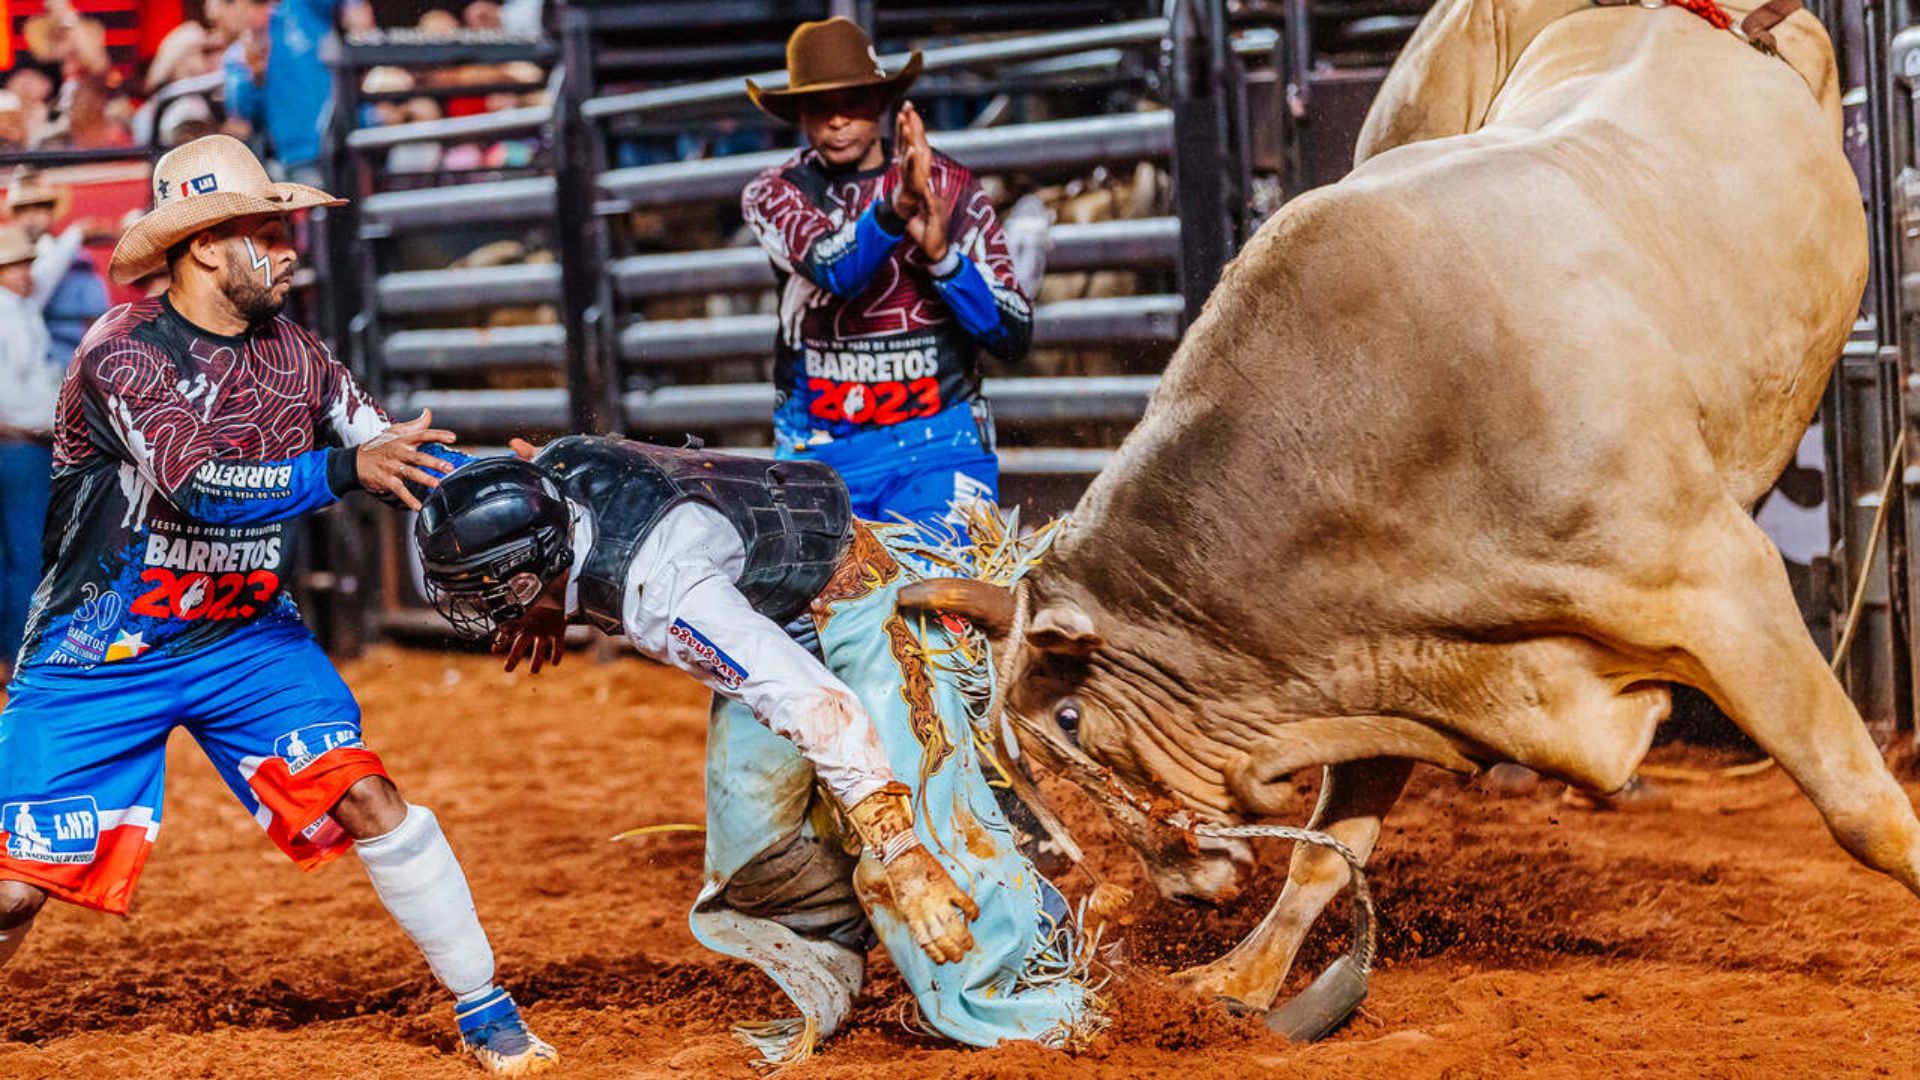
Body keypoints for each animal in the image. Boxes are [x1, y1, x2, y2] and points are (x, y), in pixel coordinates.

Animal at [902, 0, 1920, 1014]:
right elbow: (1331, 848)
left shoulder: (1722, 585)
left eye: (1073, 721)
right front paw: (1239, 978)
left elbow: (1862, 808)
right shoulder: (1381, 649)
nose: (1184, 889)